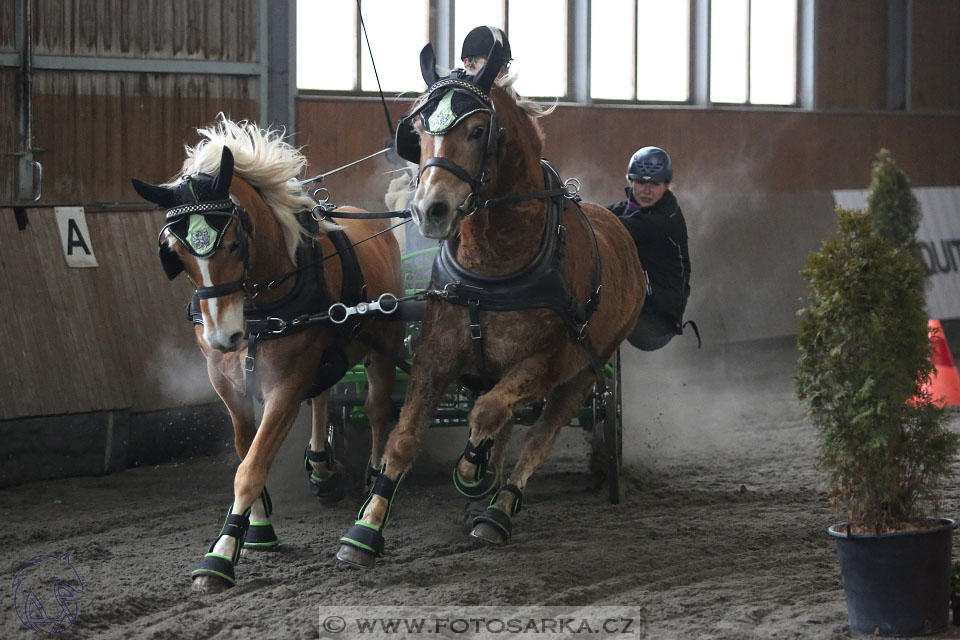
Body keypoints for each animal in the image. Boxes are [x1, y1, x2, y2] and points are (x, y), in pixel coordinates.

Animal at [131, 117, 402, 592]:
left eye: (235, 244)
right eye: (178, 254)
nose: (224, 336)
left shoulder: (285, 385)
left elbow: (252, 465)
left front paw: (221, 555)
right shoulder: (226, 381)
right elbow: (245, 450)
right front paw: (256, 527)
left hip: (382, 347)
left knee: (377, 408)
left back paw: (370, 481)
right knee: (324, 395)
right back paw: (322, 469)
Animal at [338, 42, 644, 568]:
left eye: (478, 130)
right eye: (418, 131)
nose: (430, 210)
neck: (495, 264)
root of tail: (620, 227)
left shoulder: (546, 361)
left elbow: (486, 414)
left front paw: (470, 473)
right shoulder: (436, 354)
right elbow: (405, 438)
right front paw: (366, 527)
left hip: (586, 370)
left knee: (539, 432)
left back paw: (497, 508)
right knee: (506, 421)